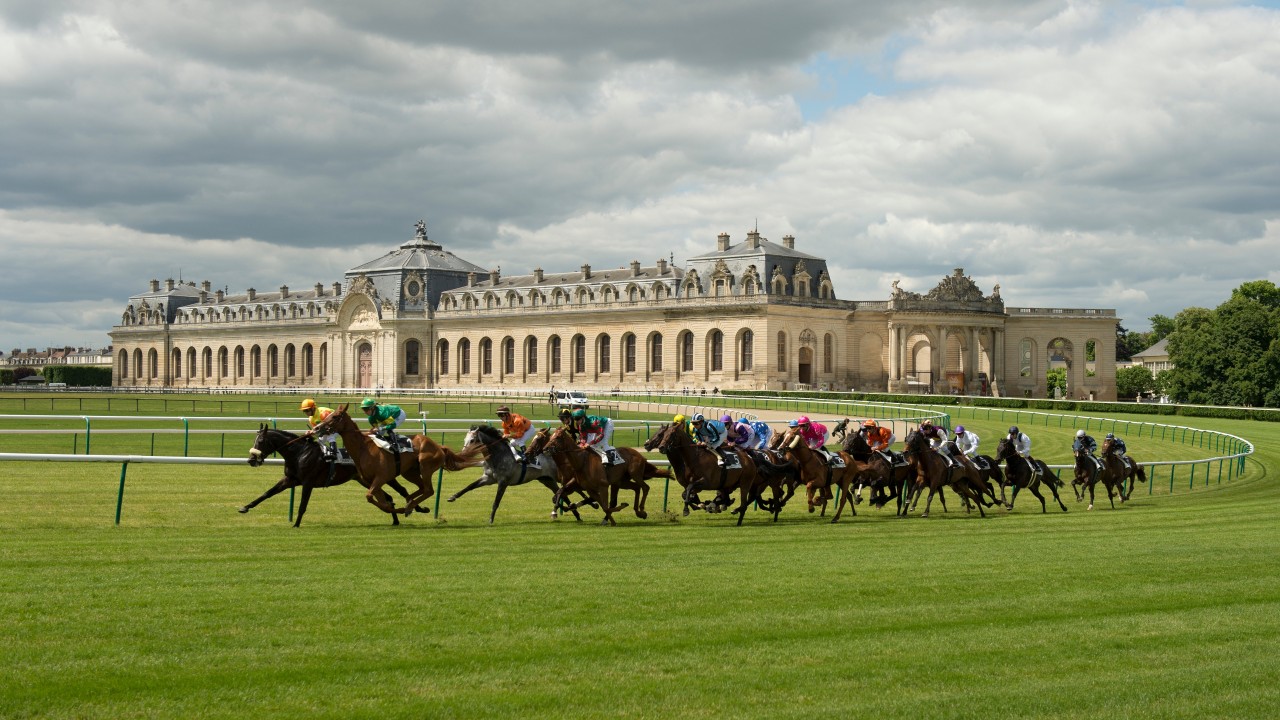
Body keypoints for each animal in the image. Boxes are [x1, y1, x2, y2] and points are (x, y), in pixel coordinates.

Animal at [241, 422, 412, 525]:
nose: (251, 460)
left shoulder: (308, 482)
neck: (299, 453)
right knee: (389, 497)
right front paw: (245, 507)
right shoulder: (290, 479)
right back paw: (395, 520)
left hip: (378, 478)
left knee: (399, 492)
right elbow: (267, 493)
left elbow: (303, 504)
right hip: (365, 481)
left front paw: (296, 524)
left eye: (261, 441)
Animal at [313, 404, 483, 515]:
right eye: (328, 415)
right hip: (409, 472)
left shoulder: (381, 478)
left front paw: (398, 509)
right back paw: (410, 502)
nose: (316, 428)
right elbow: (377, 499)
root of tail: (438, 446)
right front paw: (395, 508)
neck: (363, 448)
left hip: (425, 466)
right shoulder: (371, 481)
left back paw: (409, 506)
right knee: (421, 488)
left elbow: (371, 497)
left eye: (335, 416)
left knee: (429, 490)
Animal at [450, 420, 586, 520]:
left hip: (559, 477)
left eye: (472, 440)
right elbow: (469, 486)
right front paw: (453, 497)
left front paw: (491, 520)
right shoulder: (488, 478)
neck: (497, 456)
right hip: (547, 480)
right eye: (464, 440)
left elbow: (496, 502)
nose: (463, 454)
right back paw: (576, 514)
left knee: (572, 488)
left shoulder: (503, 482)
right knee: (562, 493)